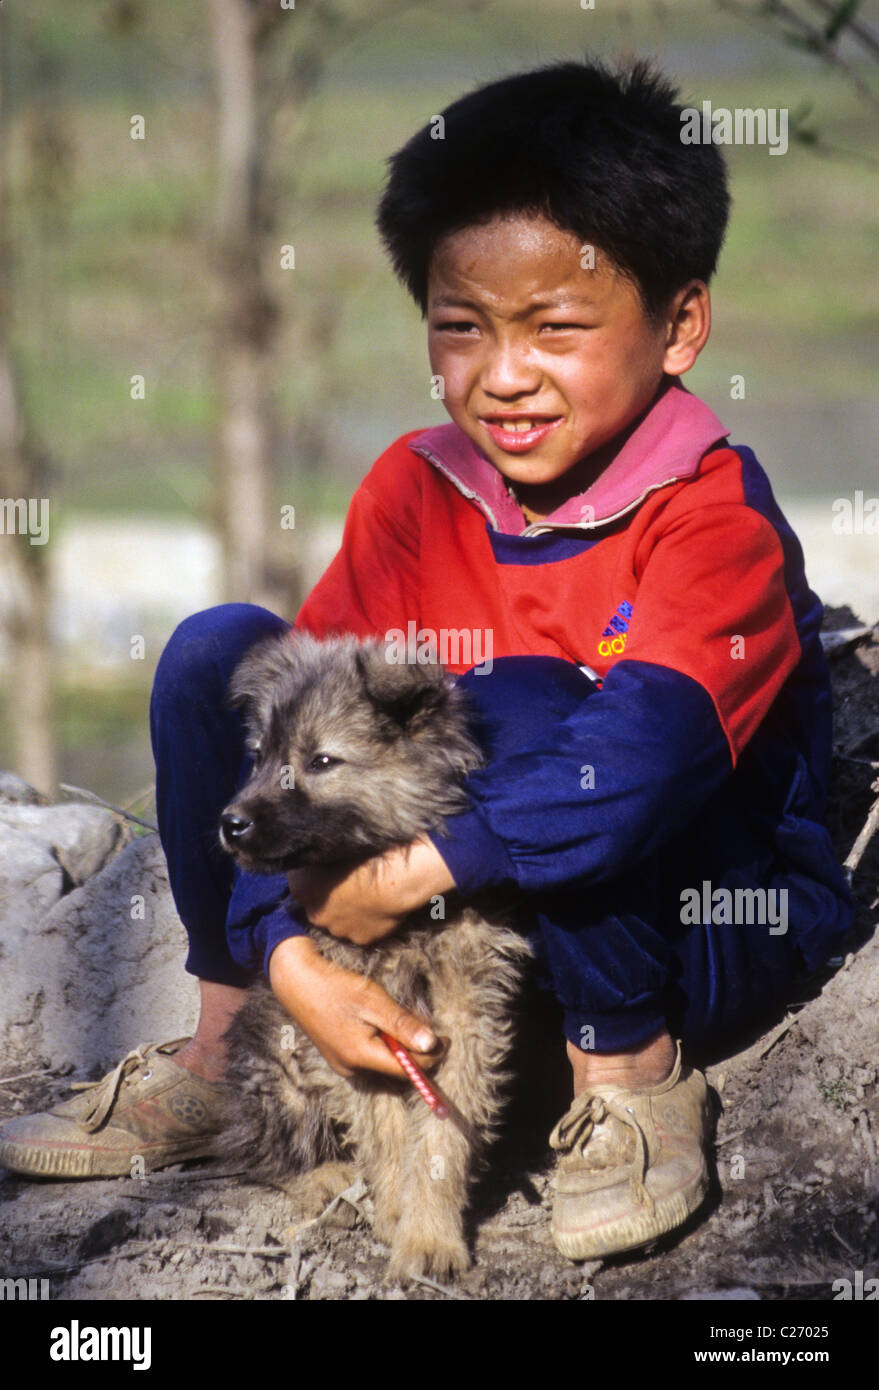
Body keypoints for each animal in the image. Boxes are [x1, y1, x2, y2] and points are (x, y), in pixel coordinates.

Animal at [214, 631, 528, 1278]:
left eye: (321, 762)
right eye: (259, 757)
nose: (230, 824)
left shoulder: (466, 1015)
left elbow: (439, 1139)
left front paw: (428, 1236)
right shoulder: (347, 1024)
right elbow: (384, 1133)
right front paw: (397, 1213)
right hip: (280, 1068)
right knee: (259, 1154)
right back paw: (329, 1182)